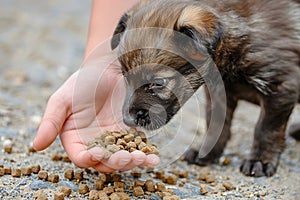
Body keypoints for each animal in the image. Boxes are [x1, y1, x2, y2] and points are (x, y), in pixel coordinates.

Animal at [110, 0, 300, 177]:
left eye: (158, 82)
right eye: (125, 77)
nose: (128, 120)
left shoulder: (280, 87)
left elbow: (266, 130)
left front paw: (260, 160)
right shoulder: (218, 94)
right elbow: (216, 124)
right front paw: (208, 152)